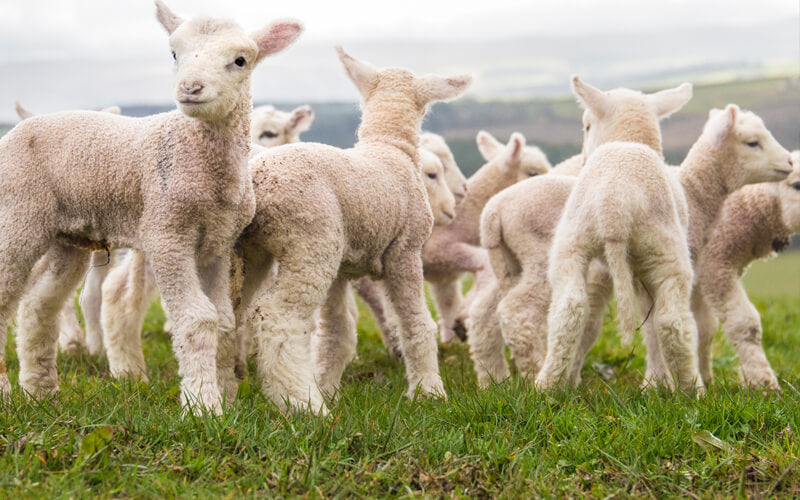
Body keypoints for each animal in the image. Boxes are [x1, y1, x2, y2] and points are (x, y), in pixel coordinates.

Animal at [0, 1, 303, 414]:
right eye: (174, 53)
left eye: (240, 60)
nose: (190, 88)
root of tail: (19, 128)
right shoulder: (166, 234)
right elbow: (197, 319)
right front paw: (202, 406)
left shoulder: (218, 244)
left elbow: (223, 319)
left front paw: (224, 397)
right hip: (17, 214)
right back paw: (9, 392)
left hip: (65, 236)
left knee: (38, 304)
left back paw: (40, 392)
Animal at [232, 47, 470, 412]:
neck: (389, 146)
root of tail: (256, 180)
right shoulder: (406, 252)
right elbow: (415, 322)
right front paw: (429, 391)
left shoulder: (342, 269)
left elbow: (337, 334)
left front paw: (328, 385)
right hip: (311, 244)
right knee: (278, 317)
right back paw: (304, 404)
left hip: (252, 252)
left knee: (226, 312)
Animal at [468, 78, 694, 387]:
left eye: (587, 126)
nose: (585, 158)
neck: (630, 141)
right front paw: (658, 382)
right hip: (662, 248)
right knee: (672, 319)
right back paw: (692, 388)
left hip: (556, 248)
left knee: (553, 309)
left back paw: (521, 382)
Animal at [646, 151, 800, 391]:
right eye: (796, 185)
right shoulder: (716, 265)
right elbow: (745, 323)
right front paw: (763, 382)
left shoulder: (701, 278)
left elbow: (705, 329)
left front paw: (706, 378)